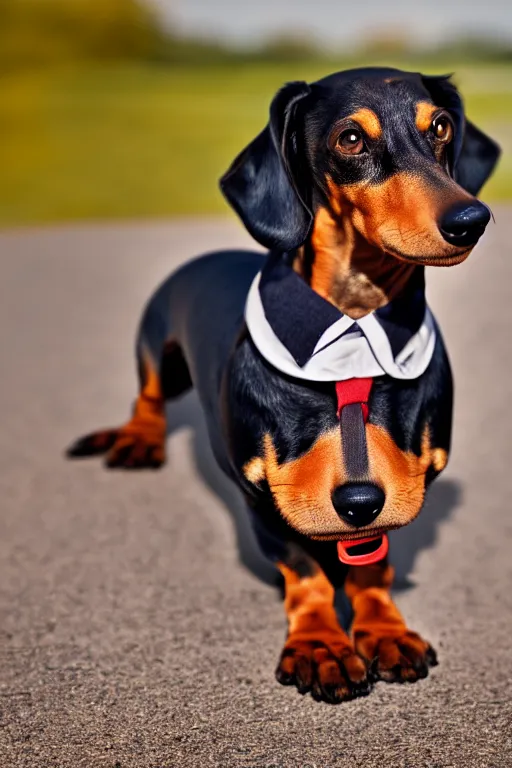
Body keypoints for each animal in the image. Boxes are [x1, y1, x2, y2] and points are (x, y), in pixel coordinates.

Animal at [66, 69, 498, 704]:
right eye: (350, 139)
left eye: (441, 126)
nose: (470, 220)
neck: (354, 317)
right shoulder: (261, 496)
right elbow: (305, 568)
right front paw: (321, 645)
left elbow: (372, 562)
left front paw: (383, 630)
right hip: (156, 348)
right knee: (146, 395)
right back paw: (140, 437)